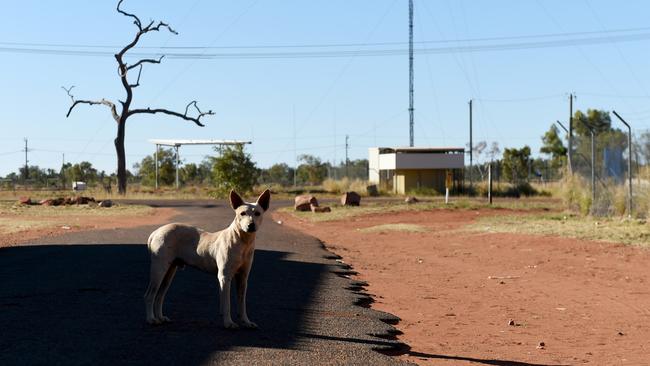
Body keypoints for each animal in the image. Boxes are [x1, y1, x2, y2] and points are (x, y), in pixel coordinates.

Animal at [144, 189, 268, 328]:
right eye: (242, 213)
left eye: (257, 213)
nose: (251, 225)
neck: (243, 241)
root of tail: (156, 232)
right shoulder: (224, 277)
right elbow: (227, 304)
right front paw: (228, 323)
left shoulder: (243, 278)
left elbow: (242, 304)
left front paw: (246, 322)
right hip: (159, 270)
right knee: (149, 295)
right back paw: (151, 319)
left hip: (169, 272)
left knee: (160, 296)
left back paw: (160, 317)